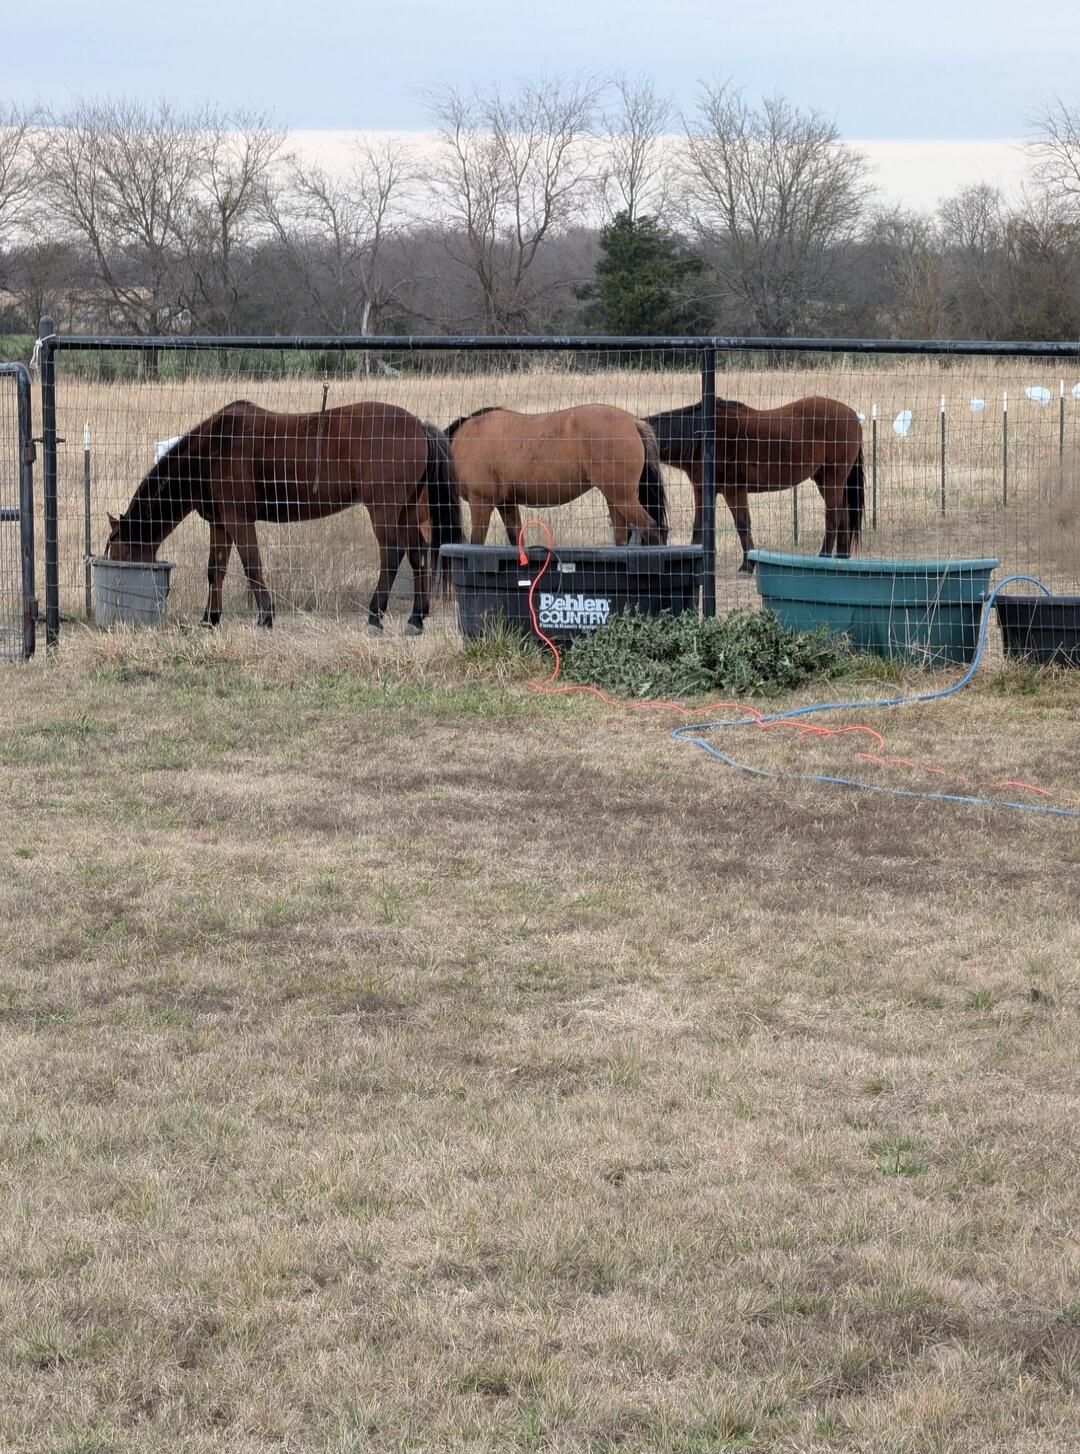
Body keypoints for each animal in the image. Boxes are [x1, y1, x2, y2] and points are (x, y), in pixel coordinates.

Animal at [103, 399, 462, 631]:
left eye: (118, 550)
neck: (212, 449)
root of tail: (418, 425)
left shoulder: (238, 519)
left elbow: (252, 566)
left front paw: (265, 616)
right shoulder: (220, 524)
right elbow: (215, 570)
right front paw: (210, 619)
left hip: (384, 510)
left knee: (392, 555)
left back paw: (375, 617)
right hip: (406, 510)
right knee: (417, 555)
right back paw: (416, 618)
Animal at [445, 404, 668, 546]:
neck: (465, 440)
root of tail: (633, 422)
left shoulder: (481, 503)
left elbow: (477, 542)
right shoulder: (506, 504)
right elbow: (516, 539)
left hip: (623, 498)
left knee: (651, 529)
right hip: (614, 498)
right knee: (622, 536)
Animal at [641, 396, 865, 572]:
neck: (703, 439)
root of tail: (852, 415)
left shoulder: (734, 491)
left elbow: (742, 525)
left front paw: (747, 566)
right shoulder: (702, 490)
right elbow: (699, 527)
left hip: (832, 480)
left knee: (833, 517)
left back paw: (824, 557)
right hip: (827, 481)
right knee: (844, 515)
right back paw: (842, 559)